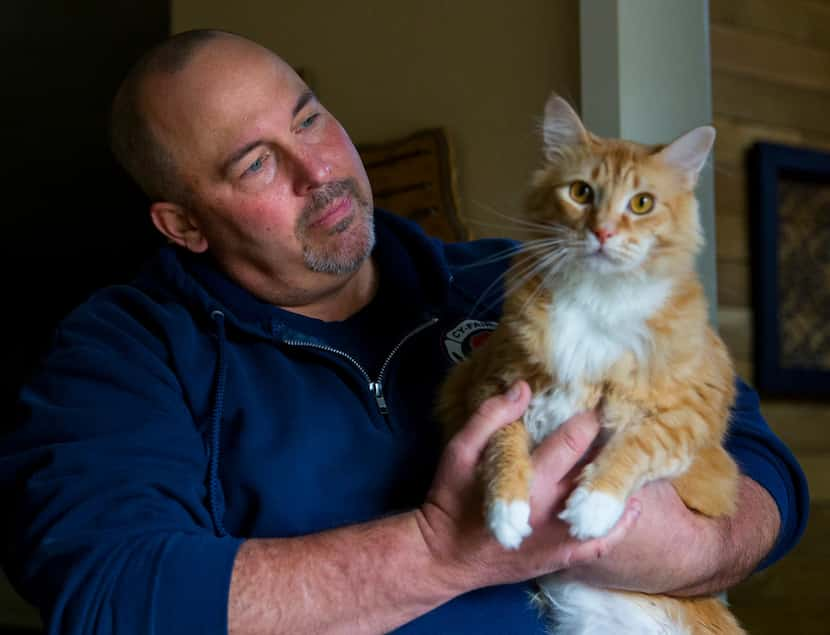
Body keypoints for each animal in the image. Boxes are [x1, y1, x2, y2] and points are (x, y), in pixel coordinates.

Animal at [438, 95, 744, 635]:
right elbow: (503, 446)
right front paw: (506, 512)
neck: (597, 299)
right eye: (581, 192)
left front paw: (592, 505)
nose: (602, 232)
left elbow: (638, 444)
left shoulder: (690, 416)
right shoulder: (495, 386)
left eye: (641, 203)